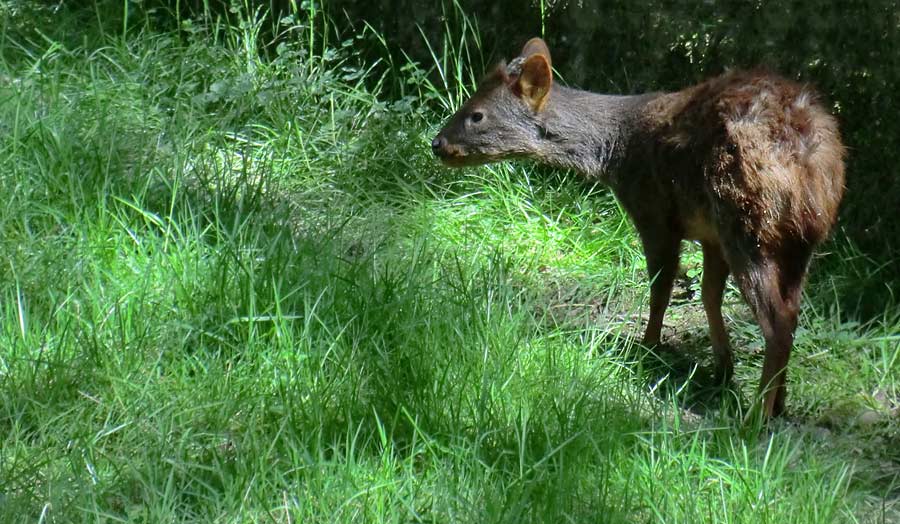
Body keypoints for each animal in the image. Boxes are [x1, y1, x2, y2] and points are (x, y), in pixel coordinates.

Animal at [432, 37, 848, 418]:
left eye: (476, 115)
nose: (437, 142)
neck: (616, 149)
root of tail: (812, 159)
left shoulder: (654, 212)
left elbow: (661, 287)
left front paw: (648, 349)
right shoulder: (709, 235)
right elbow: (708, 295)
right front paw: (723, 368)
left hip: (747, 226)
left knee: (777, 320)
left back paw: (755, 418)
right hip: (796, 241)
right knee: (792, 312)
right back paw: (778, 402)